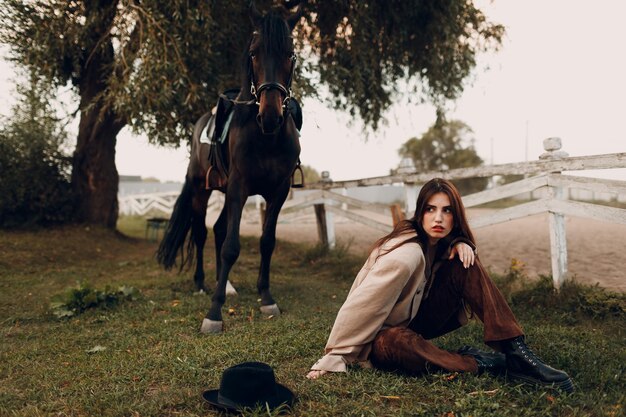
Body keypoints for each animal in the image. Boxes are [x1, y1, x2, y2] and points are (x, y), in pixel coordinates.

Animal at [156, 1, 302, 334]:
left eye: (289, 53)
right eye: (253, 53)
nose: (271, 116)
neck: (266, 137)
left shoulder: (278, 191)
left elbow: (266, 242)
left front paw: (266, 298)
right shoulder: (239, 187)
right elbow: (231, 247)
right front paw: (214, 313)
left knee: (220, 228)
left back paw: (228, 285)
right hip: (202, 190)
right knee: (201, 232)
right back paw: (201, 284)